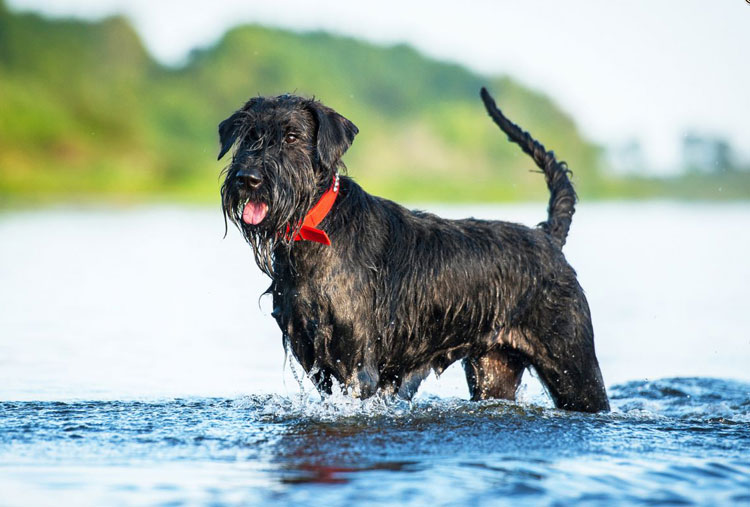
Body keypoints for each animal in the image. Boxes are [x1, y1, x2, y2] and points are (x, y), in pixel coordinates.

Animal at [217, 87, 612, 412]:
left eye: (293, 136)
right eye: (249, 135)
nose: (248, 179)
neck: (317, 230)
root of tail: (548, 237)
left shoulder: (358, 369)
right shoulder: (315, 361)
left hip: (574, 369)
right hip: (494, 370)